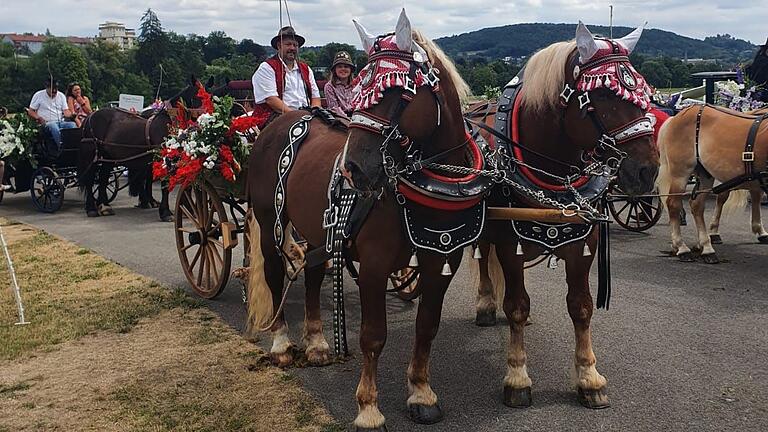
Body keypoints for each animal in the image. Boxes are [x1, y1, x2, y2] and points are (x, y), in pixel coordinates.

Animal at [249, 9, 480, 428]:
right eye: (359, 88)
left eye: (399, 93)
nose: (352, 169)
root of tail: (280, 122)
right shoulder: (374, 264)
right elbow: (373, 336)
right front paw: (369, 408)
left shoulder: (442, 260)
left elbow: (427, 326)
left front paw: (421, 392)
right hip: (269, 222)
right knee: (275, 273)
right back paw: (281, 343)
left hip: (319, 231)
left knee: (312, 274)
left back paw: (317, 342)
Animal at [468, 22, 660, 408]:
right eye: (603, 96)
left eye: (644, 92)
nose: (647, 171)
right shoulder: (510, 245)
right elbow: (516, 304)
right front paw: (517, 376)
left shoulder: (583, 244)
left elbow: (581, 306)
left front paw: (589, 377)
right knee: (483, 258)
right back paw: (485, 304)